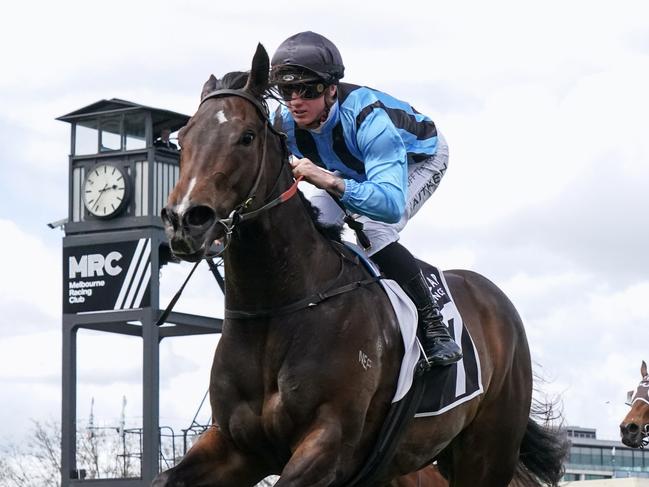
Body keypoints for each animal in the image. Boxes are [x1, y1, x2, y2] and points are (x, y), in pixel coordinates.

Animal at [153, 43, 568, 487]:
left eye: (246, 137)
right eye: (183, 138)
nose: (185, 219)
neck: (277, 308)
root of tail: (494, 297)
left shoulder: (330, 444)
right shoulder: (235, 446)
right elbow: (165, 478)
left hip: (488, 450)